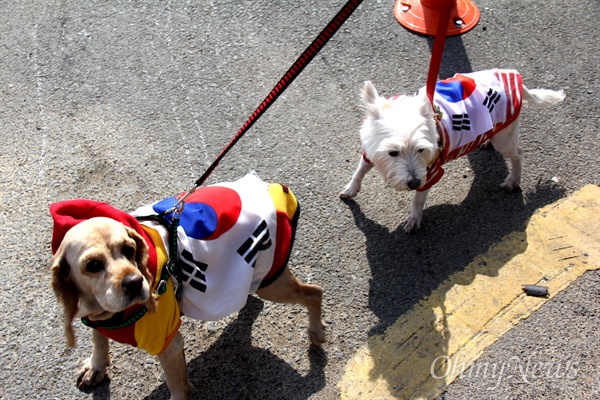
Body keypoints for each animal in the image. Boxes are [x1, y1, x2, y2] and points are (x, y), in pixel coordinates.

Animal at [50, 173, 324, 400]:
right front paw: (96, 366)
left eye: (129, 249)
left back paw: (316, 332)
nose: (135, 283)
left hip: (271, 281)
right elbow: (99, 340)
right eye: (92, 265)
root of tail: (270, 186)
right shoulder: (96, 317)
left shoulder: (169, 345)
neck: (108, 313)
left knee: (314, 292)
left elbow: (178, 388)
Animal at [340, 67, 564, 233]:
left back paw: (513, 180)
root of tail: (517, 80)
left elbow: (418, 199)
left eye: (421, 150)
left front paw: (414, 219)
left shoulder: (430, 171)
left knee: (517, 153)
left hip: (506, 138)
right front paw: (351, 189)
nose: (413, 183)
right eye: (392, 153)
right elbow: (359, 170)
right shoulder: (369, 150)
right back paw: (486, 142)